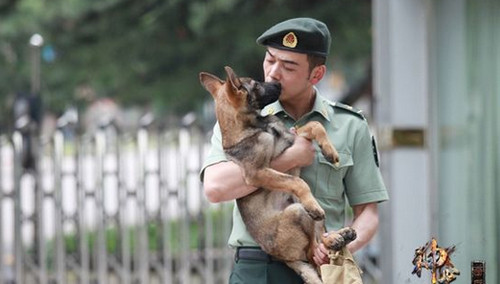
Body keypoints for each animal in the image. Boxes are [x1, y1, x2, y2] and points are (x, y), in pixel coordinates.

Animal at [199, 67, 356, 284]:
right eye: (256, 84)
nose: (279, 83)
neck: (256, 127)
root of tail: (285, 259)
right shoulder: (257, 173)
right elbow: (297, 181)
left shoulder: (293, 139)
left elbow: (315, 124)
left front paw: (329, 150)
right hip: (297, 211)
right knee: (312, 252)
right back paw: (322, 223)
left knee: (319, 241)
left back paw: (337, 236)